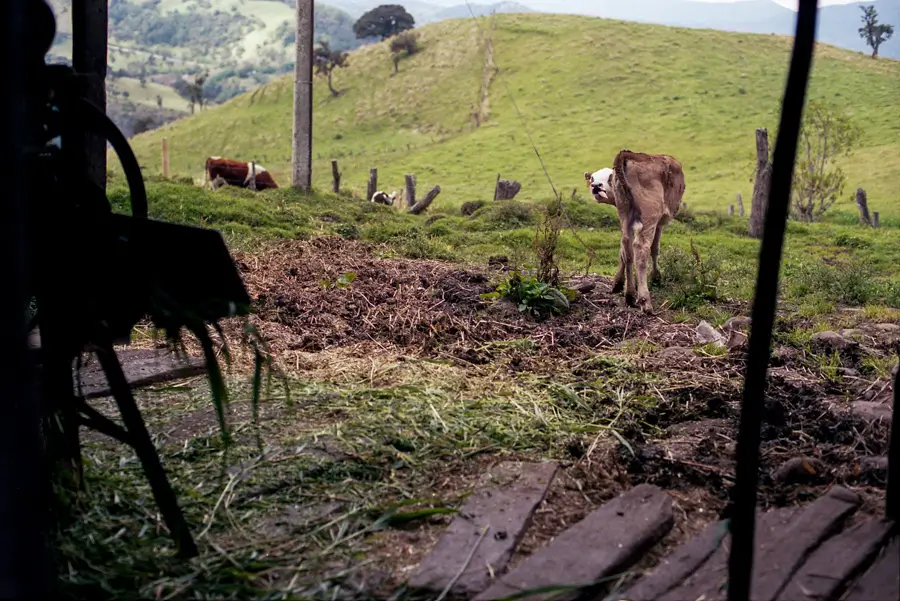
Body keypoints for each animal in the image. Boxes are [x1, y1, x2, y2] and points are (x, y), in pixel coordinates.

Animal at [584, 149, 684, 312]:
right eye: (592, 177)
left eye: (609, 178)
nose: (595, 186)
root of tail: (627, 154)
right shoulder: (659, 222)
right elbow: (655, 248)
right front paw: (656, 277)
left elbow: (622, 251)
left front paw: (618, 283)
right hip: (650, 215)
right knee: (640, 248)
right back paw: (644, 299)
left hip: (625, 212)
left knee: (627, 246)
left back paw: (630, 295)